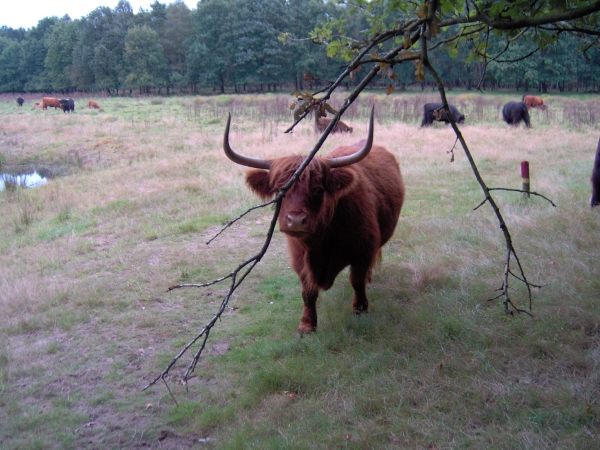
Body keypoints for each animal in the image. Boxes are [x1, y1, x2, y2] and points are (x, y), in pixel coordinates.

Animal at [223, 109, 406, 334]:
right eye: (279, 190)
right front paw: (307, 325)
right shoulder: (300, 260)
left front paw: (360, 310)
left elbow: (357, 281)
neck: (321, 242)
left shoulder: (363, 250)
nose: (296, 220)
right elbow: (308, 291)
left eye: (318, 189)